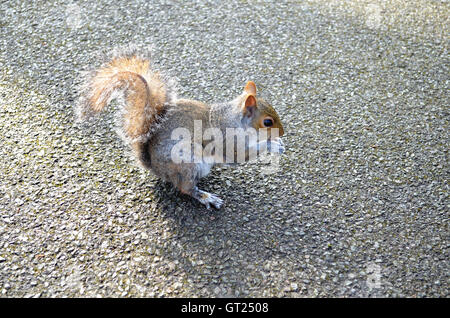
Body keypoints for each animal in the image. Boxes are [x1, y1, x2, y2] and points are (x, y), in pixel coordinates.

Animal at [75, 44, 284, 209]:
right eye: (267, 122)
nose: (282, 132)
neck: (235, 120)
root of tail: (153, 165)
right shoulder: (228, 141)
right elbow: (240, 156)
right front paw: (272, 144)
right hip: (186, 161)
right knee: (185, 188)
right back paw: (206, 197)